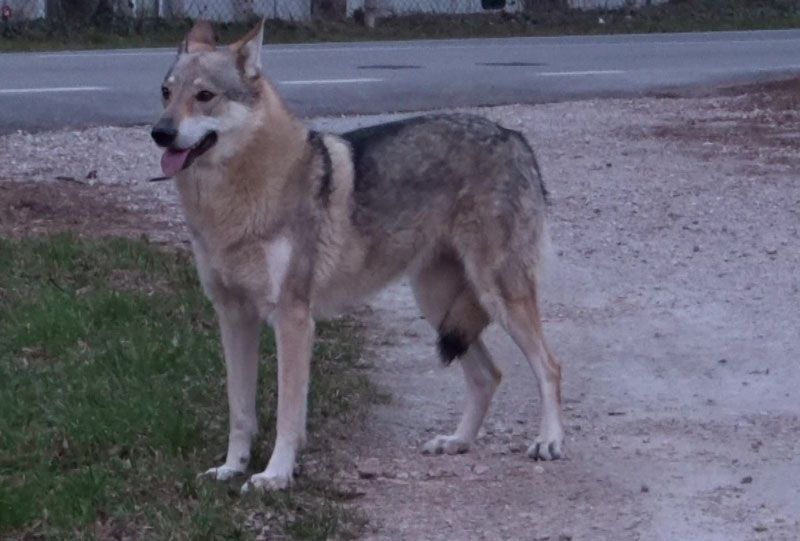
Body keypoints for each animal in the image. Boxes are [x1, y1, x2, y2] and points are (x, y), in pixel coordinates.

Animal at [150, 20, 564, 490]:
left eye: (204, 95)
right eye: (166, 93)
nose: (160, 133)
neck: (237, 197)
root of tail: (515, 138)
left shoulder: (293, 319)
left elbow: (287, 415)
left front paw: (275, 475)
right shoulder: (233, 316)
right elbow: (240, 411)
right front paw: (232, 468)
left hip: (499, 295)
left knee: (550, 367)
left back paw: (549, 442)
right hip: (438, 305)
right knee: (487, 376)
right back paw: (456, 442)